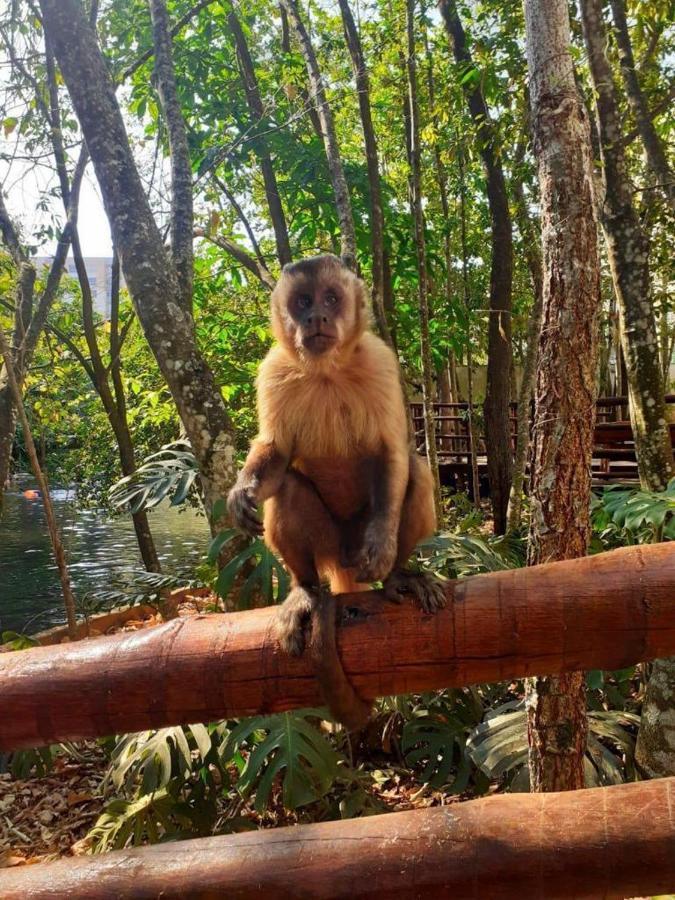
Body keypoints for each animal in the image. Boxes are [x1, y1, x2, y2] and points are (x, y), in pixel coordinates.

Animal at [230, 253, 446, 732]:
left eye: (330, 298)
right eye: (302, 301)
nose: (317, 317)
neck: (327, 371)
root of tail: (344, 559)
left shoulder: (381, 361)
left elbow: (392, 453)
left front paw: (384, 549)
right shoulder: (272, 370)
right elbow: (276, 453)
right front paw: (242, 489)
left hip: (354, 541)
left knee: (416, 471)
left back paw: (398, 575)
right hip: (329, 544)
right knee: (289, 490)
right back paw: (306, 590)